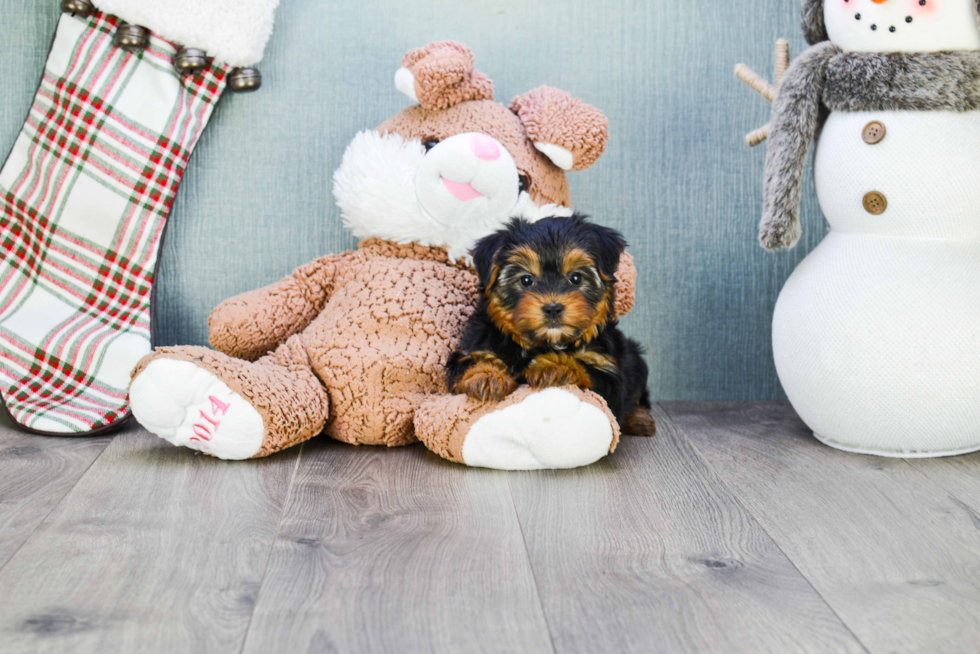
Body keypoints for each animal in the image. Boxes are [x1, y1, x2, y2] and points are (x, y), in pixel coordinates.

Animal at [448, 218, 656, 438]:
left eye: (576, 278)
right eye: (526, 280)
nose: (553, 308)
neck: (546, 342)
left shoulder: (609, 374)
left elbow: (590, 372)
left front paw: (553, 365)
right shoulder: (475, 346)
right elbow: (471, 361)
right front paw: (486, 375)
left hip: (635, 359)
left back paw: (640, 419)